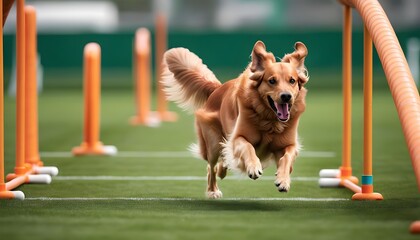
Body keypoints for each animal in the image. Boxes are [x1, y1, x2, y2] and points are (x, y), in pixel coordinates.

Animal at [161, 40, 308, 199]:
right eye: (272, 81)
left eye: (292, 80)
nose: (286, 96)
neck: (269, 121)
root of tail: (217, 89)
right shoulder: (237, 138)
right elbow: (248, 147)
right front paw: (253, 167)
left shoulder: (288, 144)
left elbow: (287, 157)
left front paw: (283, 180)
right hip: (213, 143)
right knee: (211, 167)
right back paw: (213, 190)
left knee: (223, 160)